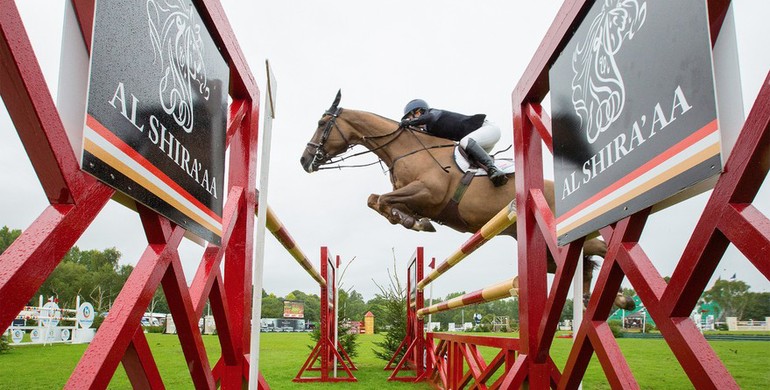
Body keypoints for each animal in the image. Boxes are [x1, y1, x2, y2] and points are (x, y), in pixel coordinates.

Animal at [296, 90, 632, 310]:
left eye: (322, 123)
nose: (304, 161)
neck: (405, 148)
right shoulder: (414, 198)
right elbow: (377, 201)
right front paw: (412, 221)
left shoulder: (427, 192)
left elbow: (380, 200)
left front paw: (414, 223)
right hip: (545, 252)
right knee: (585, 262)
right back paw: (603, 298)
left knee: (598, 250)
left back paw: (623, 294)